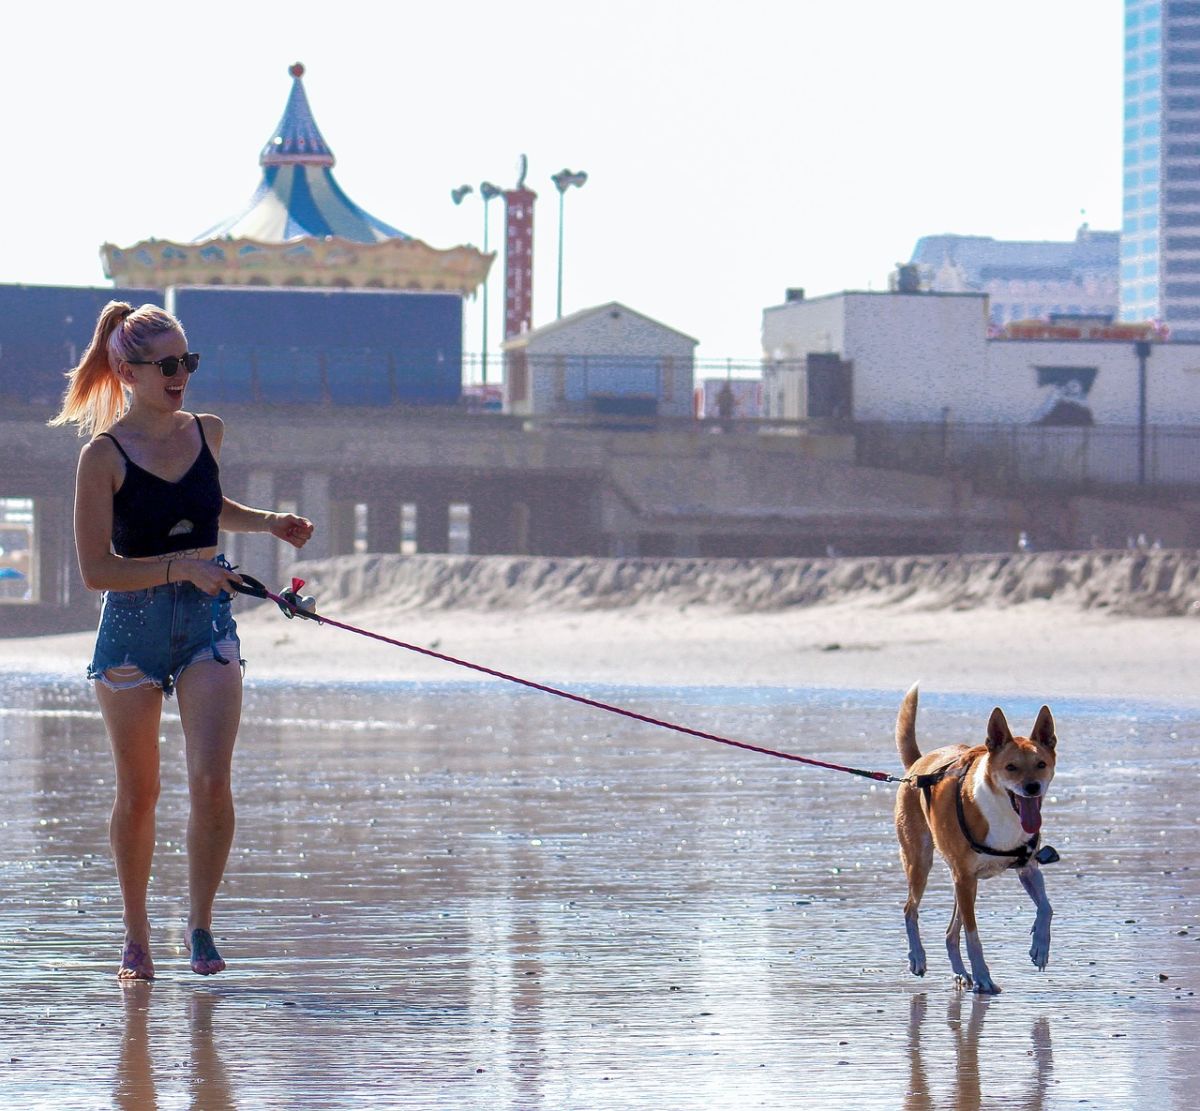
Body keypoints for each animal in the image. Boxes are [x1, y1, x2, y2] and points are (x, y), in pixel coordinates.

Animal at [897, 681, 1056, 998]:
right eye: (1011, 767)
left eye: (1041, 764)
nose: (1032, 788)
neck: (1003, 811)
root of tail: (917, 765)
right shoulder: (965, 877)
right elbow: (973, 936)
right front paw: (984, 977)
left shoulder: (1027, 867)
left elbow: (1046, 907)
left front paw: (1040, 948)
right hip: (923, 863)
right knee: (910, 909)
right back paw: (918, 957)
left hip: (963, 883)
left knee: (949, 933)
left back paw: (960, 972)